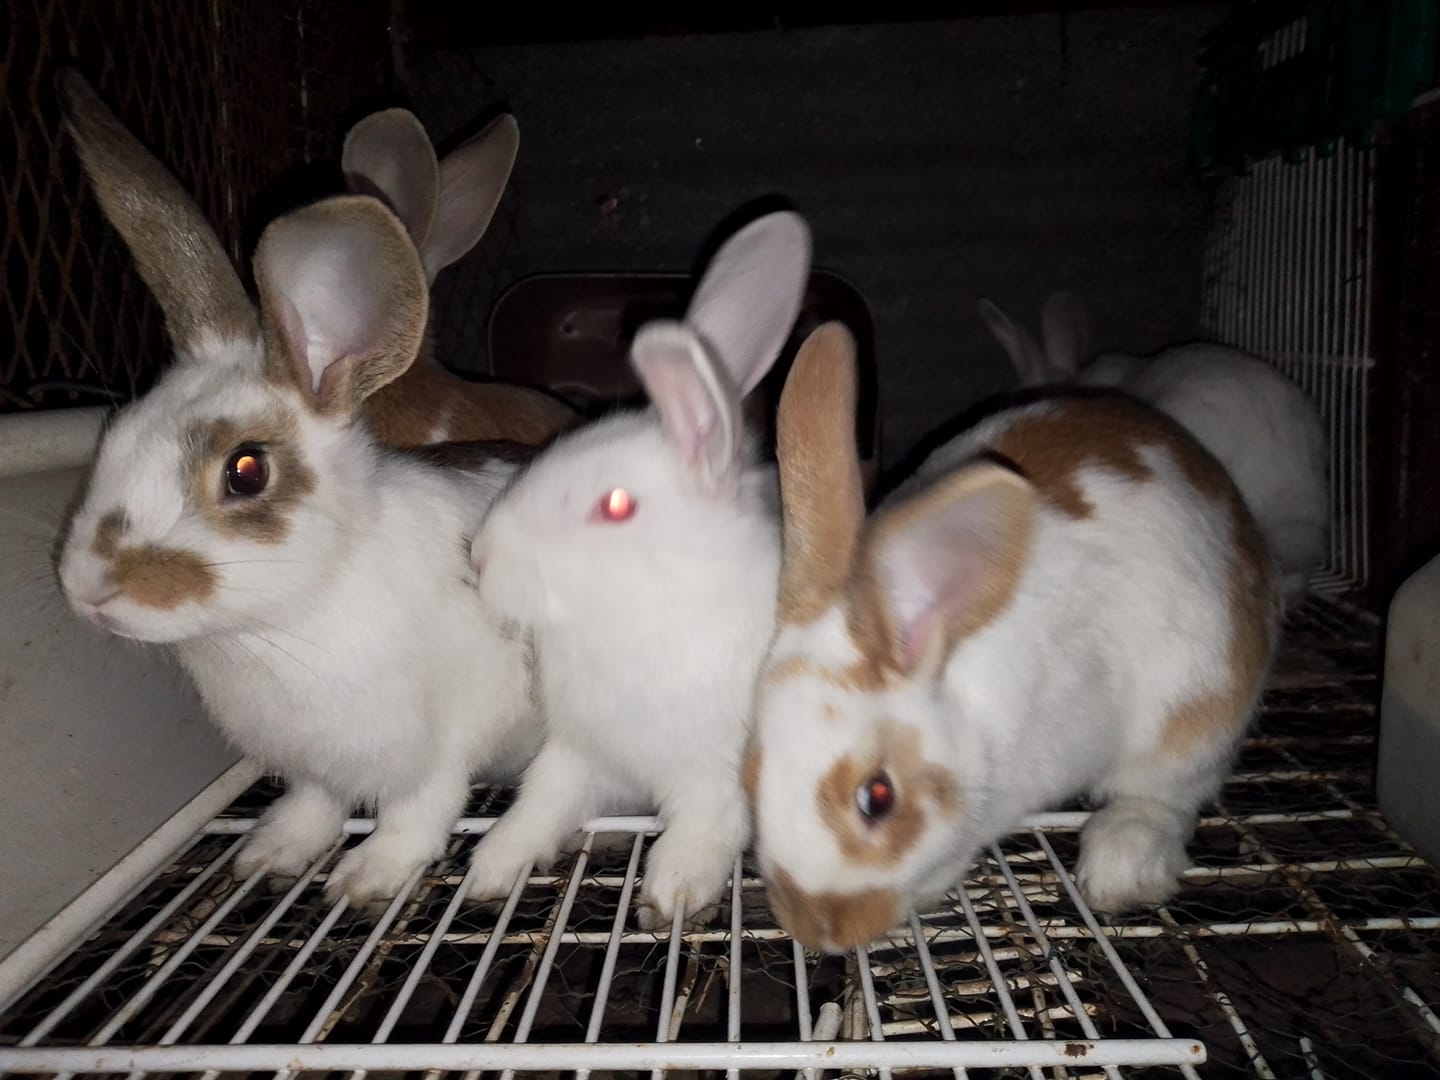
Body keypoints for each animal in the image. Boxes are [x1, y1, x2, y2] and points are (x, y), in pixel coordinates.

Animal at [53, 71, 540, 904]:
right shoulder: (310, 764)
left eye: (246, 471)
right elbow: (315, 803)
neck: (284, 623)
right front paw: (270, 853)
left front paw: (365, 880)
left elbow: (417, 813)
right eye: (112, 438)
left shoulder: (436, 748)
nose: (86, 587)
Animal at [464, 210, 812, 929]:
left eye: (617, 505)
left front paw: (670, 894)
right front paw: (490, 869)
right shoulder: (577, 749)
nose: (477, 558)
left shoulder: (717, 771)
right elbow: (538, 803)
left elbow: (705, 828)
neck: (641, 619)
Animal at [744, 319, 1280, 953]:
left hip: (1197, 703)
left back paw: (1121, 863)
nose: (817, 932)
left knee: (1166, 794)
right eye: (751, 775)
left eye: (877, 798)